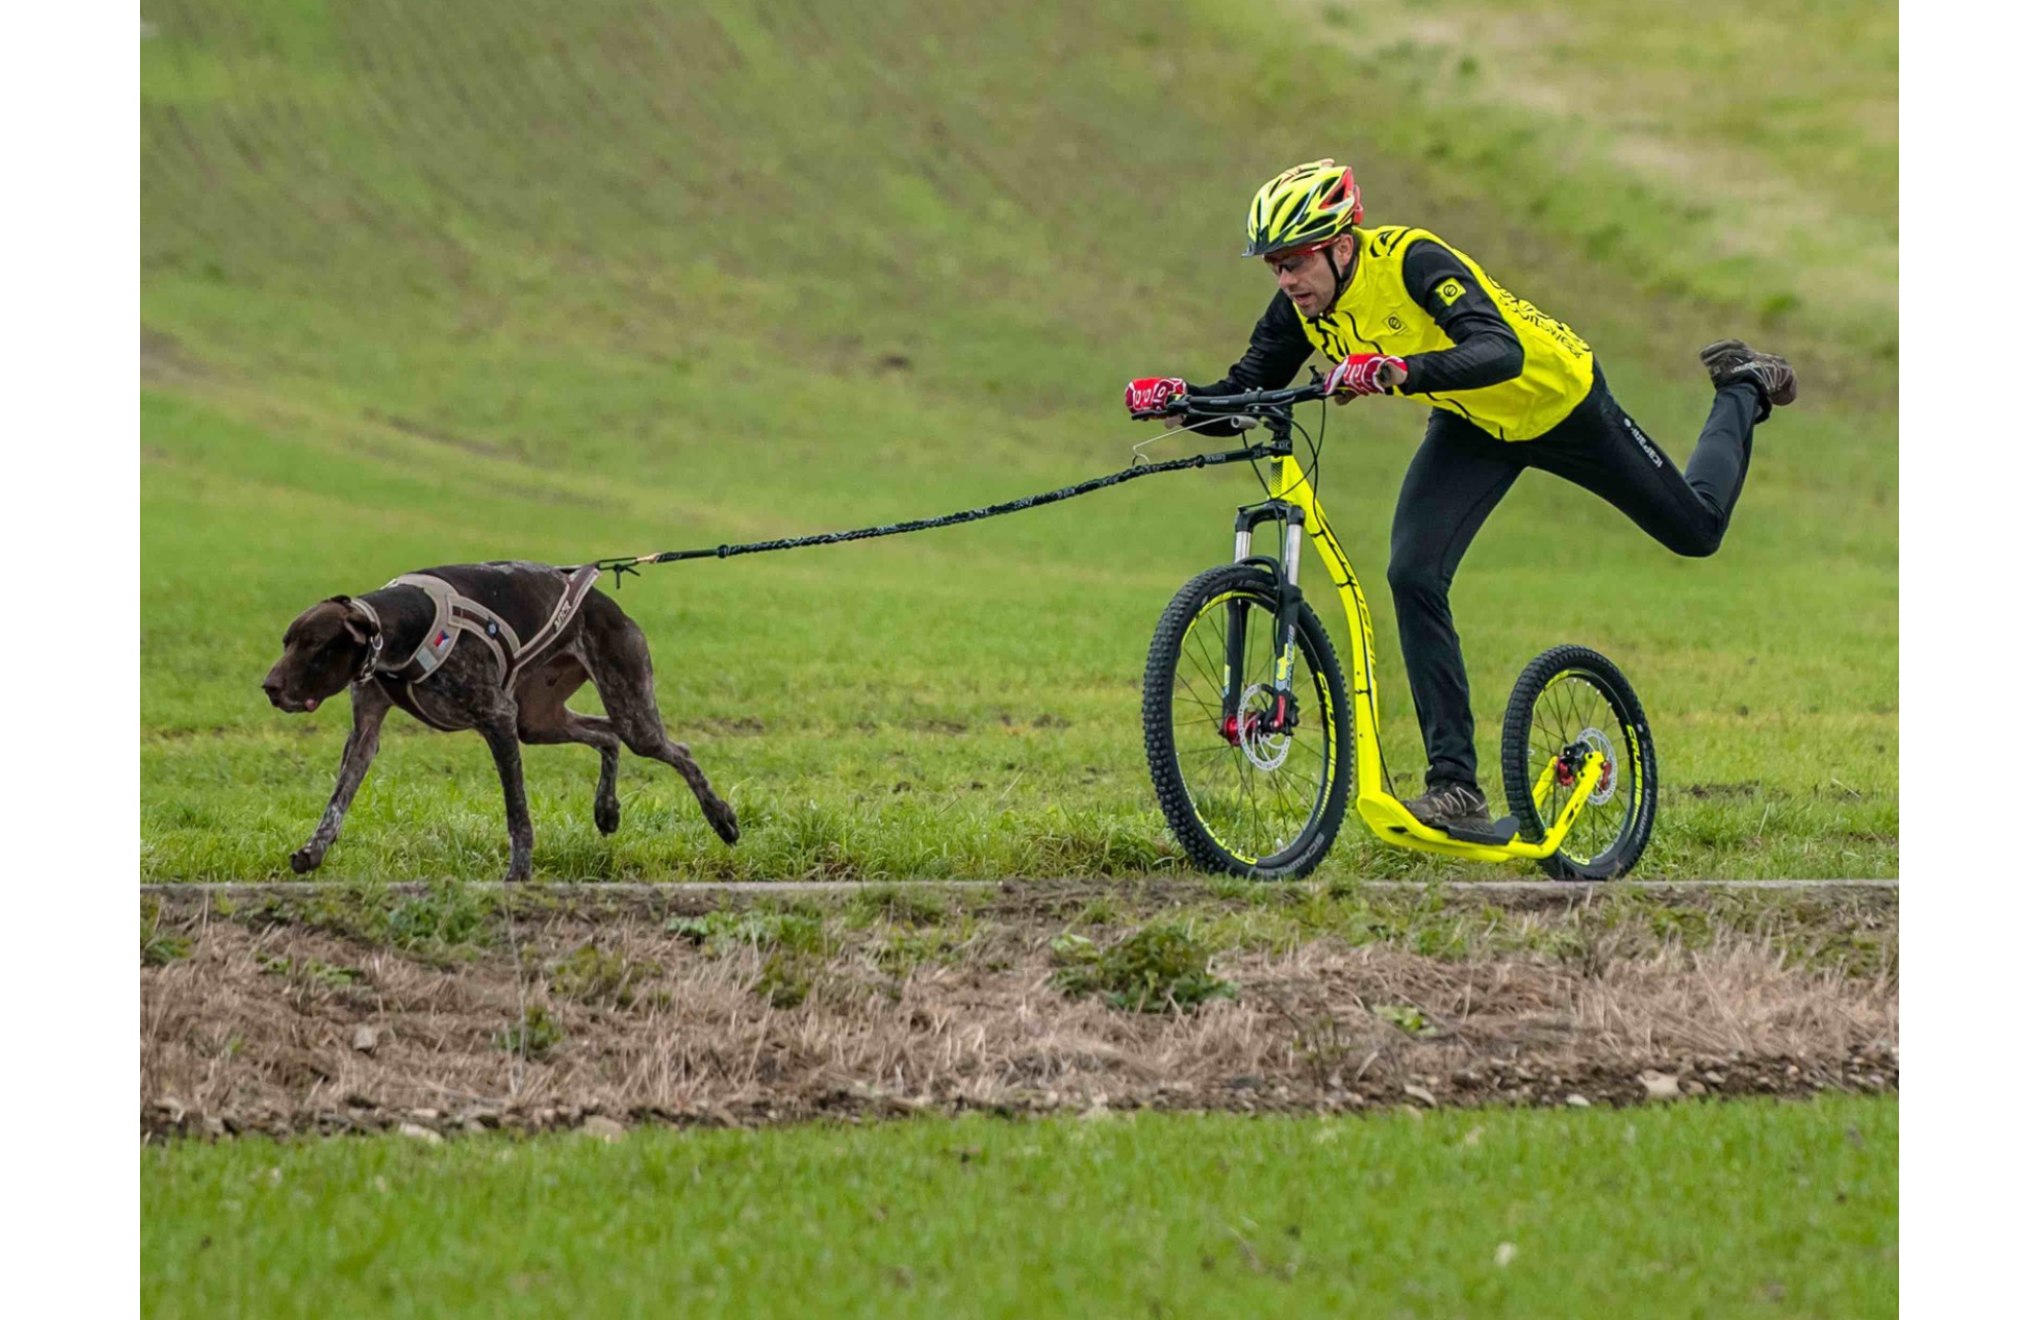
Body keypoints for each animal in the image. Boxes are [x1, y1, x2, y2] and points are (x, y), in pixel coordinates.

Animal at [263, 559, 738, 877]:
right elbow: (337, 803)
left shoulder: (498, 719)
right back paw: (606, 810)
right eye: (286, 641)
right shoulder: (364, 735)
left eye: (315, 644)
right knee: (607, 735)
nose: (269, 687)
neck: (405, 628)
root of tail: (607, 604)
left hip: (629, 712)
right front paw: (313, 851)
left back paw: (722, 818)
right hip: (539, 719)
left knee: (678, 751)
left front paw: (518, 873)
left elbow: (517, 814)